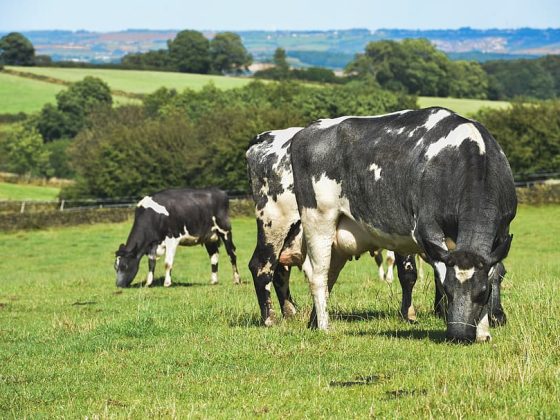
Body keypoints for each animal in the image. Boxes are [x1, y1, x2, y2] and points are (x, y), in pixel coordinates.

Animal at [290, 107, 520, 342]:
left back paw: (313, 322)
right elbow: (439, 272)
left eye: (482, 292)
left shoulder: (502, 233)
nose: (459, 335)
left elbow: (494, 272)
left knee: (330, 274)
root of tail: (309, 129)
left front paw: (483, 332)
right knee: (318, 275)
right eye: (448, 290)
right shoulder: (427, 228)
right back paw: (324, 326)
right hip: (318, 219)